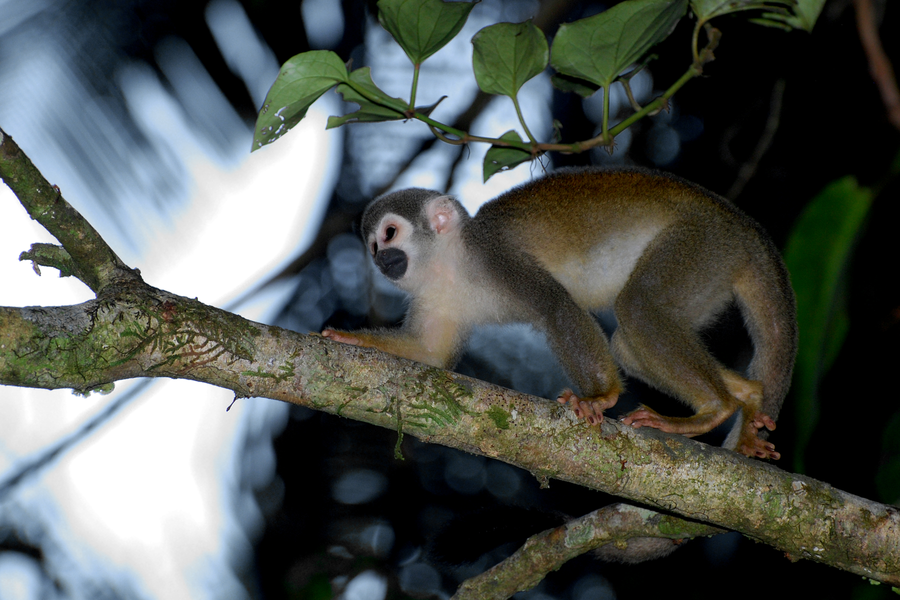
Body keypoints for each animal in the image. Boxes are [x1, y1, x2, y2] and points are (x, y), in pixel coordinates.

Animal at [322, 167, 797, 459]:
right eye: (373, 246)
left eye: (389, 234)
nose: (381, 260)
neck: (450, 263)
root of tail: (745, 228)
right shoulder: (433, 295)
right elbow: (430, 354)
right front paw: (353, 338)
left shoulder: (497, 258)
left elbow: (557, 307)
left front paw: (600, 396)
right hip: (709, 277)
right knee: (627, 342)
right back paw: (747, 396)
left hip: (700, 246)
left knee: (638, 308)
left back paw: (715, 408)